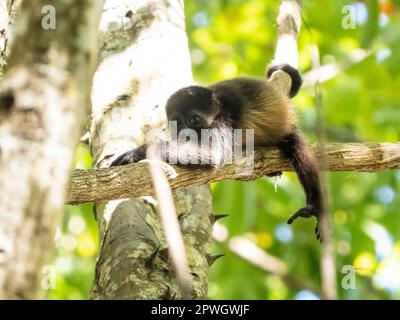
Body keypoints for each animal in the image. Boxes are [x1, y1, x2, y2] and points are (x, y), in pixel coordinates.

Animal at [111, 64, 324, 240]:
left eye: (195, 120)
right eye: (177, 122)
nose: (185, 133)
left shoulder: (224, 121)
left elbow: (210, 155)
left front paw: (138, 152)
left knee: (299, 150)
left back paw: (313, 206)